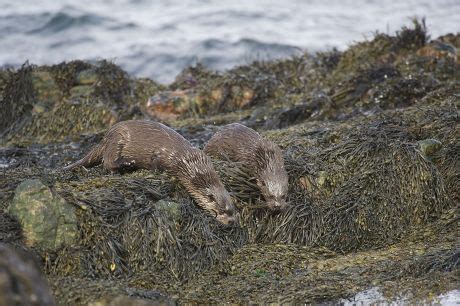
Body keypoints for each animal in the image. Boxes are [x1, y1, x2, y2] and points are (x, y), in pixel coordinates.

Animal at [63, 120, 237, 225]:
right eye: (222, 210)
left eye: (232, 210)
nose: (232, 222)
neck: (188, 161)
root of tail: (106, 136)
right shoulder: (163, 155)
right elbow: (155, 163)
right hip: (117, 140)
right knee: (108, 162)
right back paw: (127, 163)